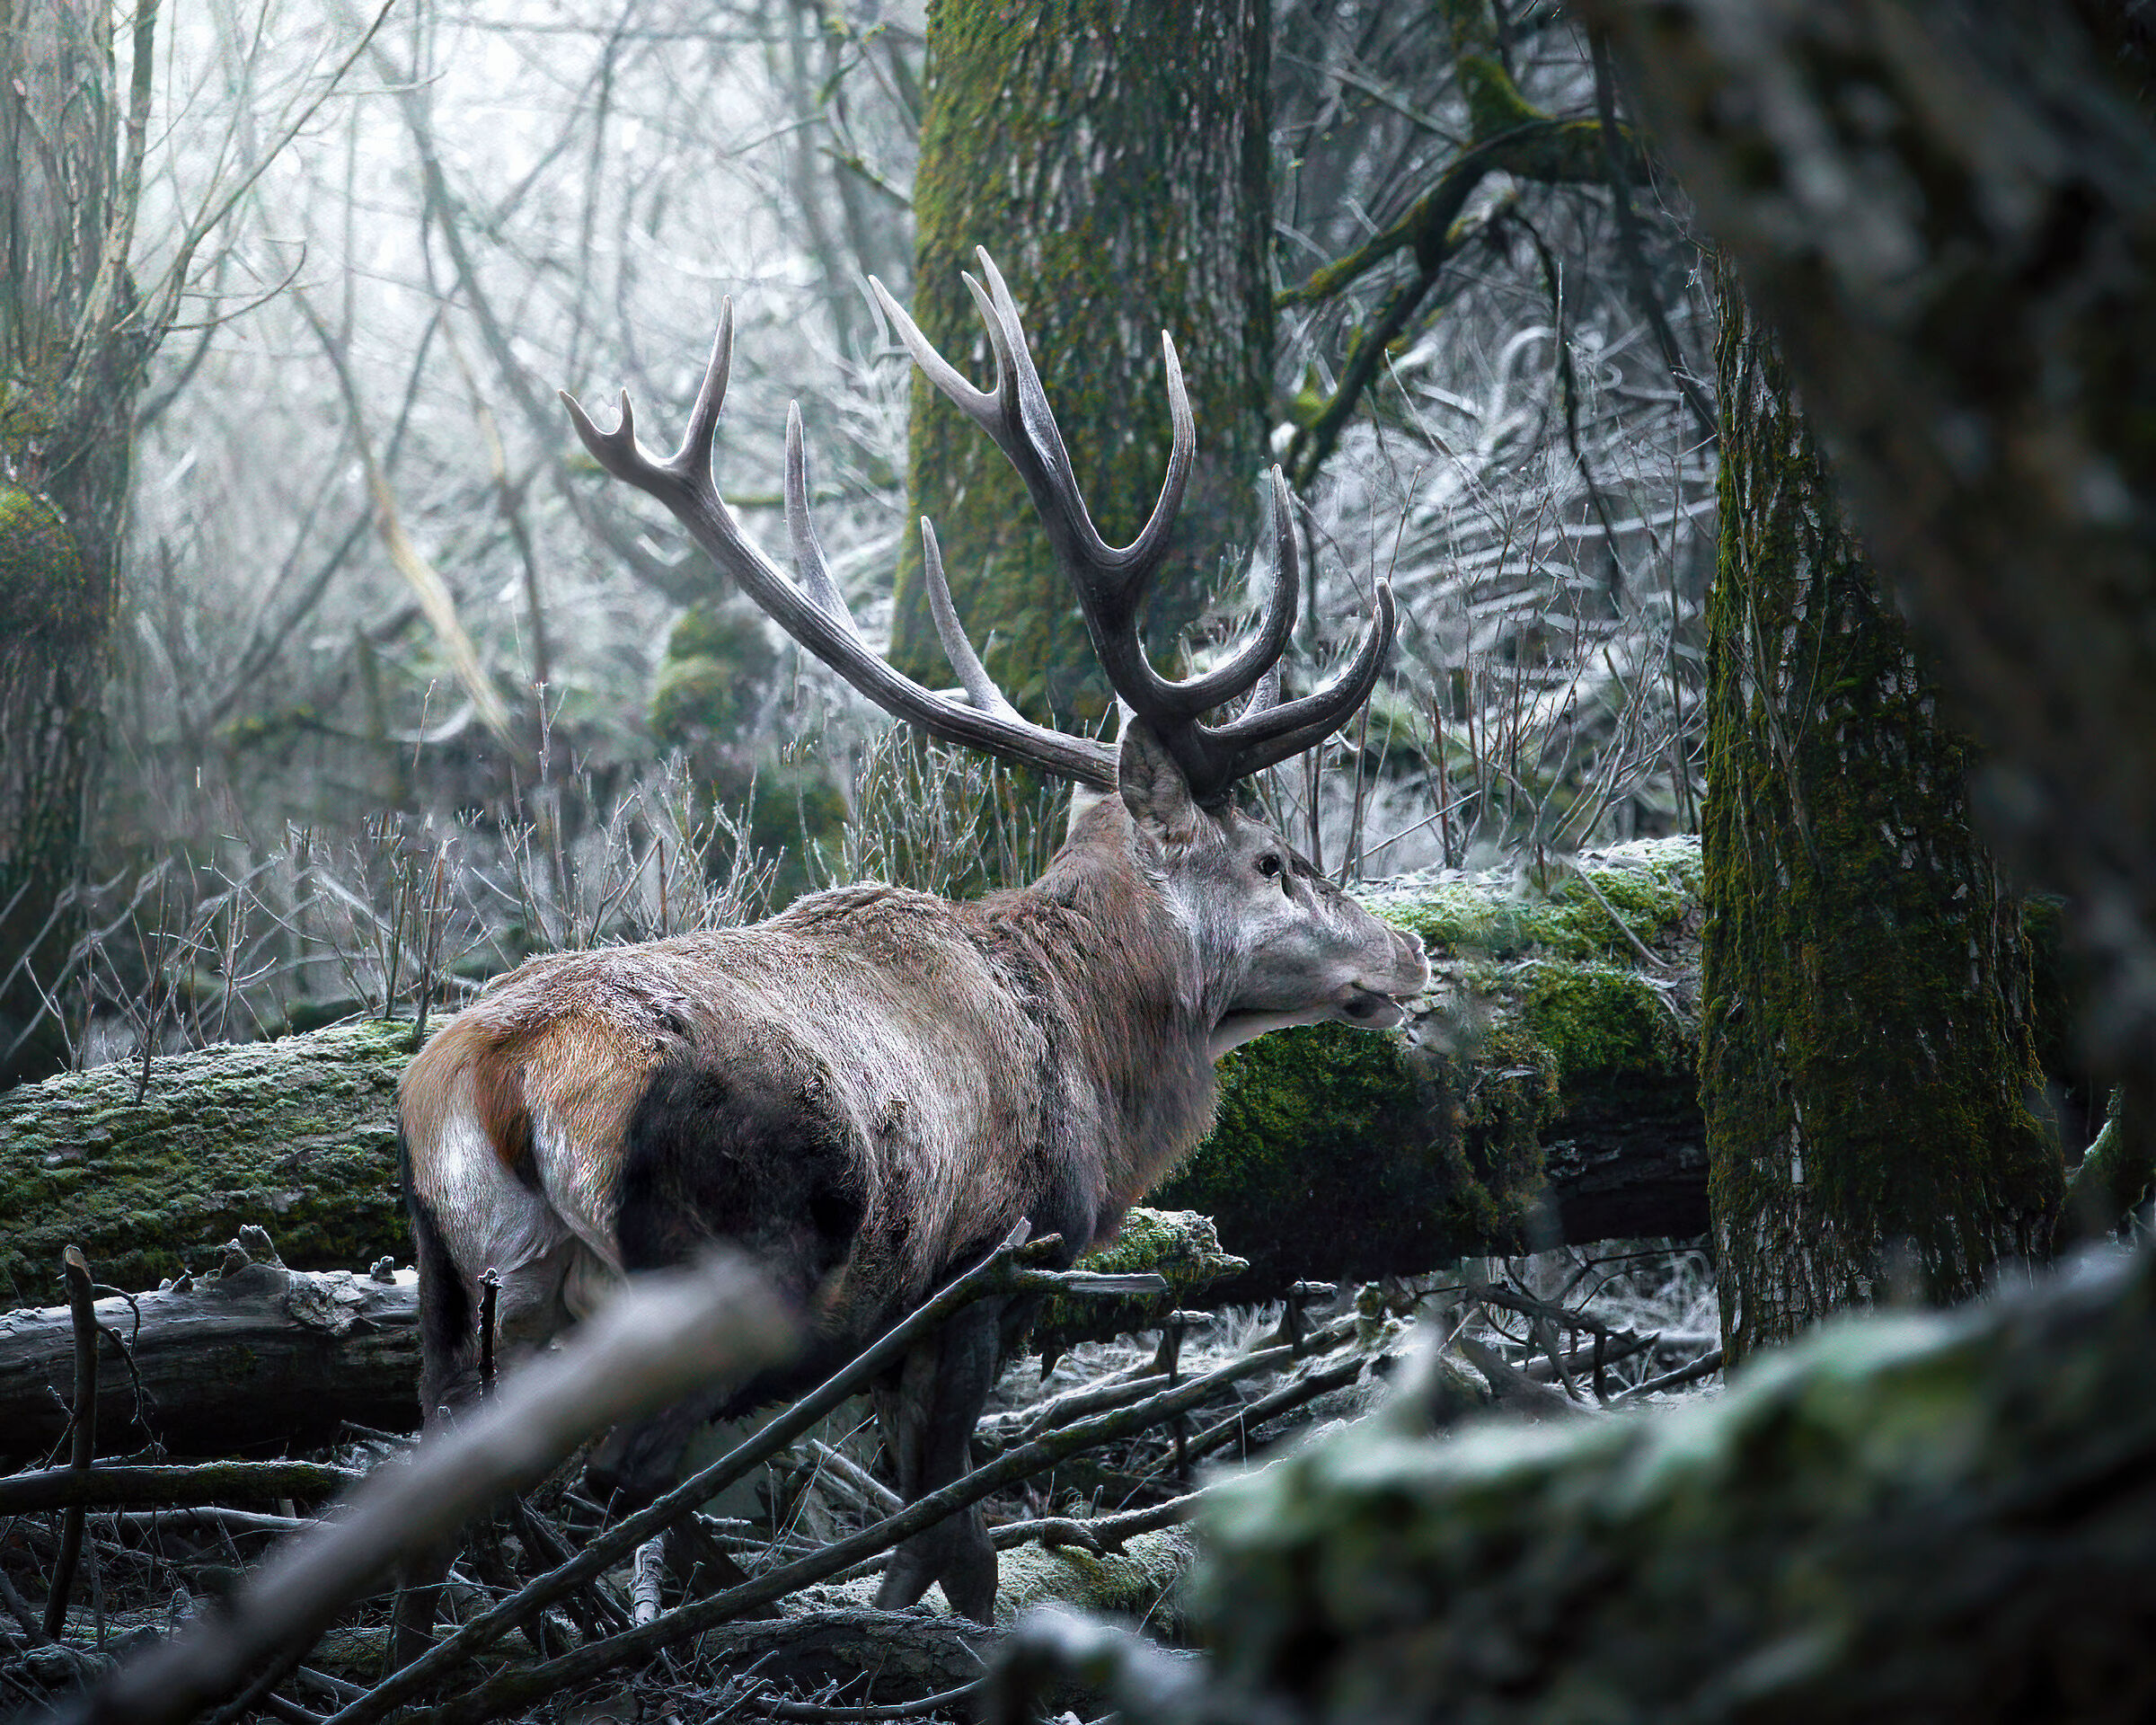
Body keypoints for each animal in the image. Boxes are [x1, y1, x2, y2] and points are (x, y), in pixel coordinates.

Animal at [393, 250, 1428, 1651]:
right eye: (1273, 858)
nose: (1410, 952)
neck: (1090, 1048)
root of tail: (502, 1077)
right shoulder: (988, 1266)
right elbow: (952, 1537)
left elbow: (911, 1542)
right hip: (729, 1269)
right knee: (624, 1479)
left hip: (457, 1296)